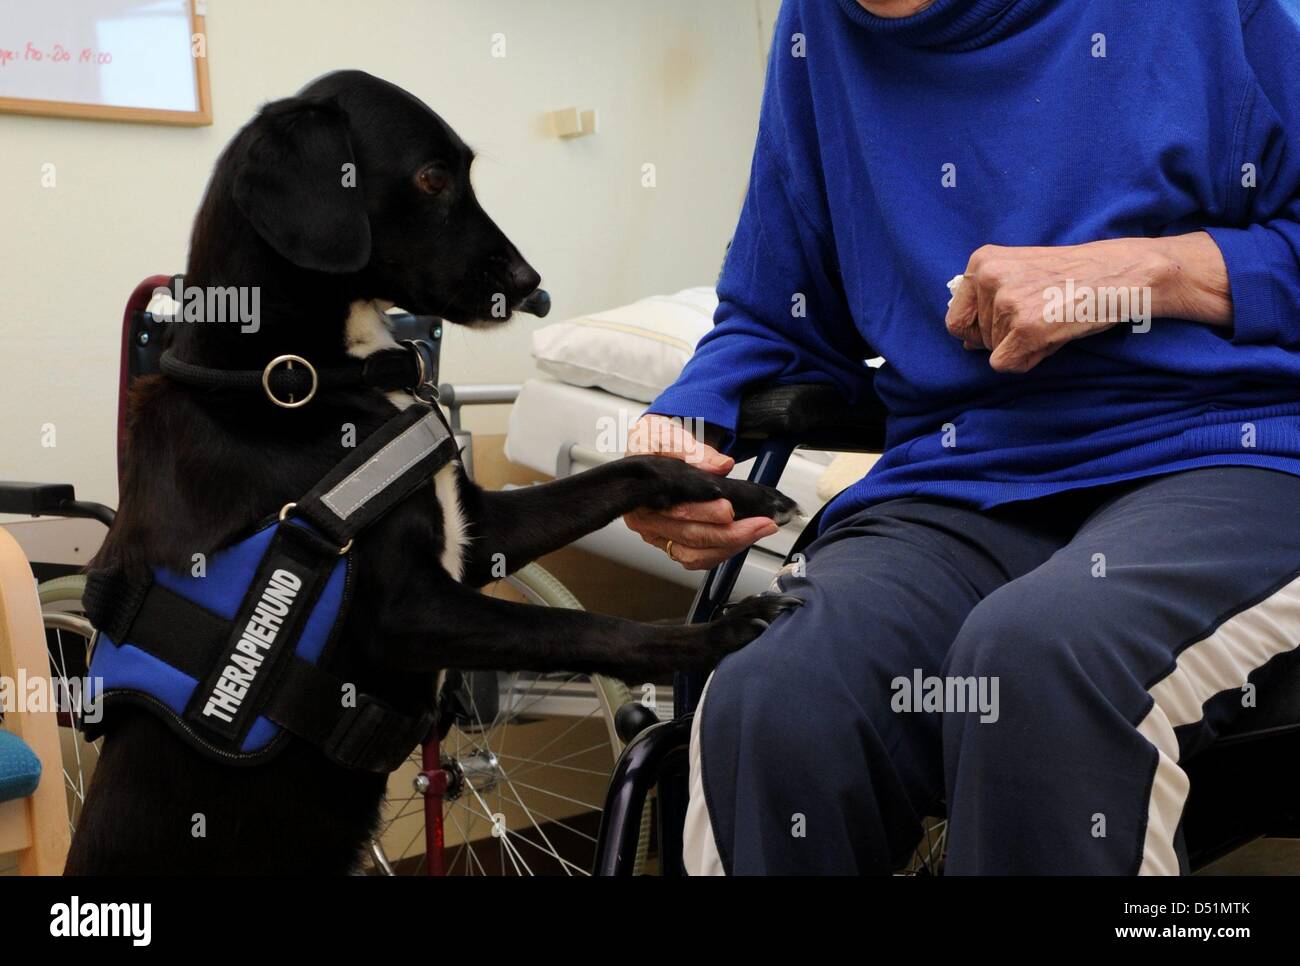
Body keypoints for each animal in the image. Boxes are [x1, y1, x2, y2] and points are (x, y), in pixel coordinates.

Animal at [68, 71, 800, 878]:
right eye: (431, 178)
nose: (531, 284)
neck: (299, 379)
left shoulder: (478, 533)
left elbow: (621, 474)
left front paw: (725, 490)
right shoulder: (411, 613)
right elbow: (581, 626)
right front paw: (719, 634)